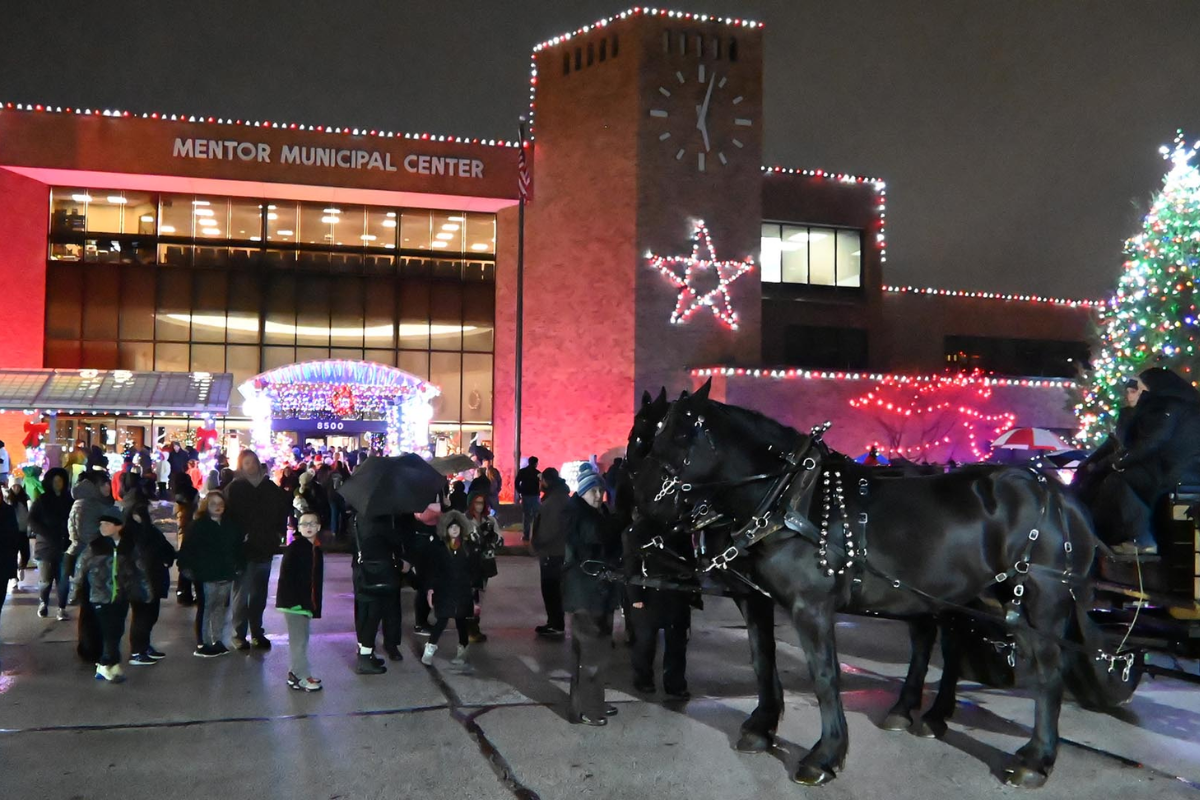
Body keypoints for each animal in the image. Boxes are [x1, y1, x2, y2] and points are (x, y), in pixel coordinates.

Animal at [633, 381, 1137, 786]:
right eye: (646, 435)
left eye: (680, 434)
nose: (642, 504)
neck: (789, 498)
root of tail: (1059, 493)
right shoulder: (754, 598)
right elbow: (763, 662)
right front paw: (761, 727)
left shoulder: (811, 606)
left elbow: (825, 675)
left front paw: (825, 755)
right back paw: (948, 722)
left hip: (1042, 600)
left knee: (1048, 674)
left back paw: (1035, 761)